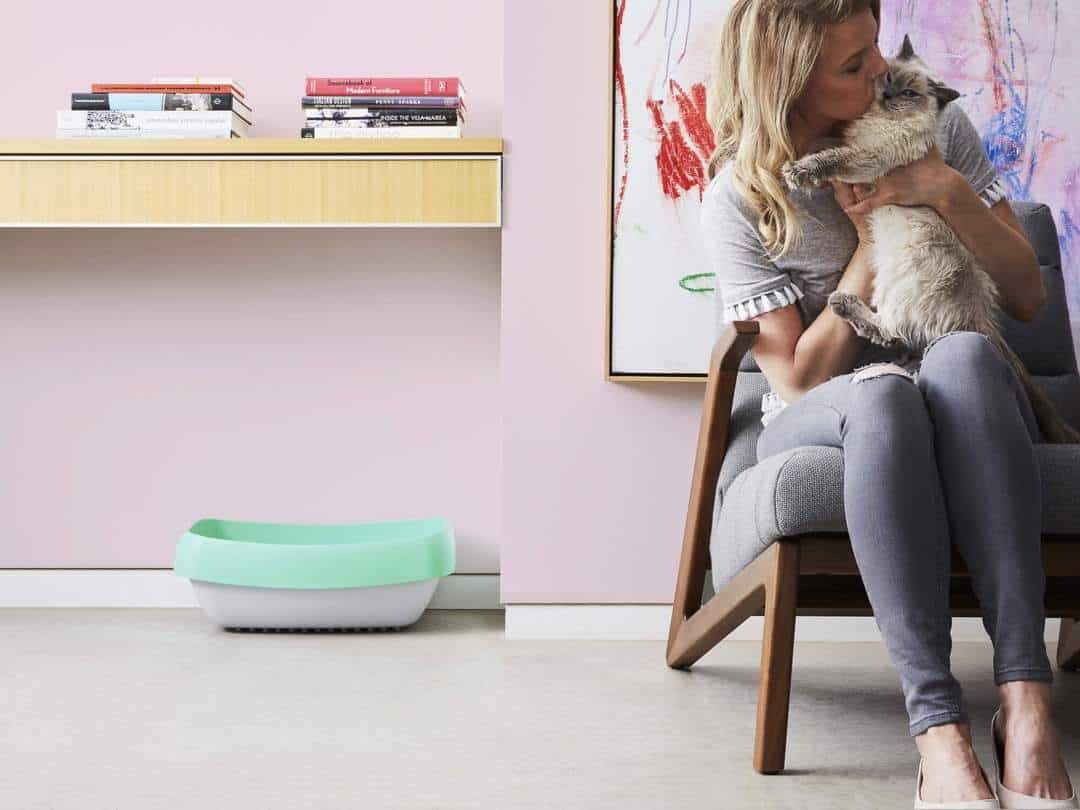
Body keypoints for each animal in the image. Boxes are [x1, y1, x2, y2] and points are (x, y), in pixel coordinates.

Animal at [781, 33, 1075, 444]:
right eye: (887, 77)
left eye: (908, 93)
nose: (887, 94)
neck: (881, 119)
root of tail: (980, 319)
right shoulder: (853, 137)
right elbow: (829, 138)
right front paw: (799, 151)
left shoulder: (868, 158)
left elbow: (834, 158)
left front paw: (798, 171)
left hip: (899, 284)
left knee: (888, 331)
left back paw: (843, 303)